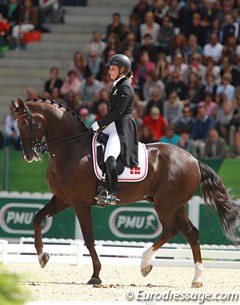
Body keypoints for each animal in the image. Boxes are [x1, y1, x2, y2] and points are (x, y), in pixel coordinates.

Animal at [12, 98, 240, 288]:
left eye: (25, 124)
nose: (28, 155)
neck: (71, 149)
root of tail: (194, 159)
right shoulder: (63, 200)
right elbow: (37, 218)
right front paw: (42, 257)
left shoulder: (80, 204)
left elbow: (88, 239)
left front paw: (96, 275)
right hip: (178, 205)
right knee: (191, 233)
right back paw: (197, 278)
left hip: (165, 205)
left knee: (171, 230)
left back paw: (145, 264)